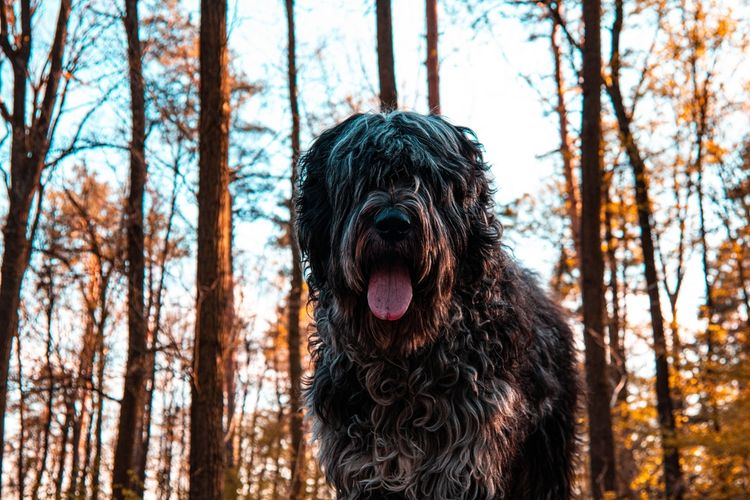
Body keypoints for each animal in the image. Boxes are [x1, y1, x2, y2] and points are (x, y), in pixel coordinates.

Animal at [296, 111, 580, 498]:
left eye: (428, 179)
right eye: (361, 178)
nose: (393, 223)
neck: (400, 361)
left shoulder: (464, 461)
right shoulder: (361, 466)